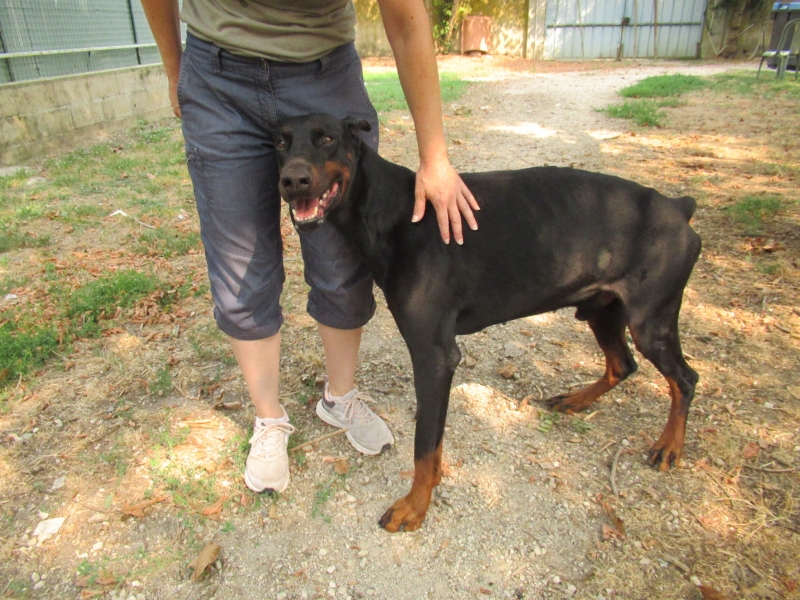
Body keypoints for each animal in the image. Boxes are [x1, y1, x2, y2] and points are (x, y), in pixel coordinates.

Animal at [276, 114, 701, 532]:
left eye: (327, 138)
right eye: (280, 142)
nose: (292, 180)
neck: (393, 212)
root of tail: (678, 207)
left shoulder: (434, 356)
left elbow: (423, 447)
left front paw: (414, 507)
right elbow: (432, 446)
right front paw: (429, 488)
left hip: (651, 321)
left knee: (684, 378)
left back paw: (669, 446)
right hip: (600, 308)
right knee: (622, 364)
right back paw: (576, 400)